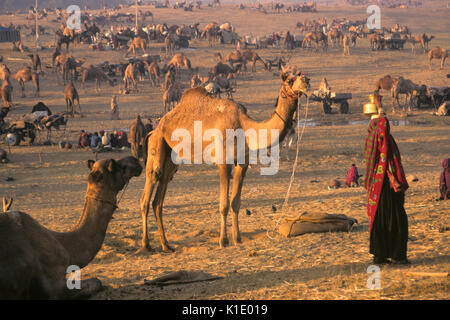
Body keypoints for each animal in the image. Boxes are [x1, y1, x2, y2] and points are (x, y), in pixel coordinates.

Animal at [139, 71, 312, 254]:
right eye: (290, 80)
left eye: (301, 75)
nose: (306, 81)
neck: (244, 126)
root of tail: (155, 128)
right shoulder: (223, 162)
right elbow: (224, 204)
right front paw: (223, 240)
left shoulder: (242, 164)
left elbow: (236, 202)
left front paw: (238, 238)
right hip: (157, 145)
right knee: (149, 190)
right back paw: (146, 244)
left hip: (171, 158)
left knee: (159, 198)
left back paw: (166, 245)